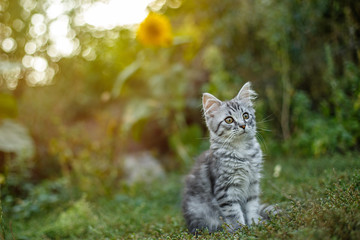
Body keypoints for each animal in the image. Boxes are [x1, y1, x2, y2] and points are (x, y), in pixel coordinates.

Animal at [183, 81, 276, 233]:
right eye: (229, 120)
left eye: (245, 115)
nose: (243, 125)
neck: (243, 151)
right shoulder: (225, 189)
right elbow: (234, 213)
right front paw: (240, 230)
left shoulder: (252, 184)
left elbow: (252, 206)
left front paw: (255, 223)